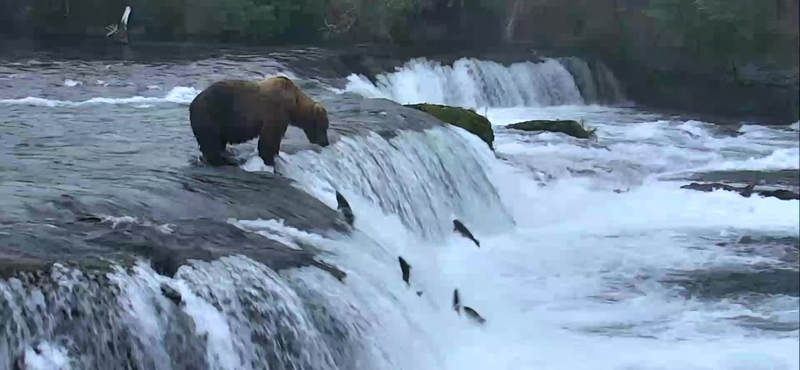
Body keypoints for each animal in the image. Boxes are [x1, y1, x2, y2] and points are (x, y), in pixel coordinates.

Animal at [189, 76, 330, 165]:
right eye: (324, 127)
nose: (326, 143)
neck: (294, 105)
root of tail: (193, 103)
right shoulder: (275, 111)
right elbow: (269, 138)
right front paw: (268, 159)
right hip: (212, 114)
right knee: (211, 141)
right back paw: (224, 161)